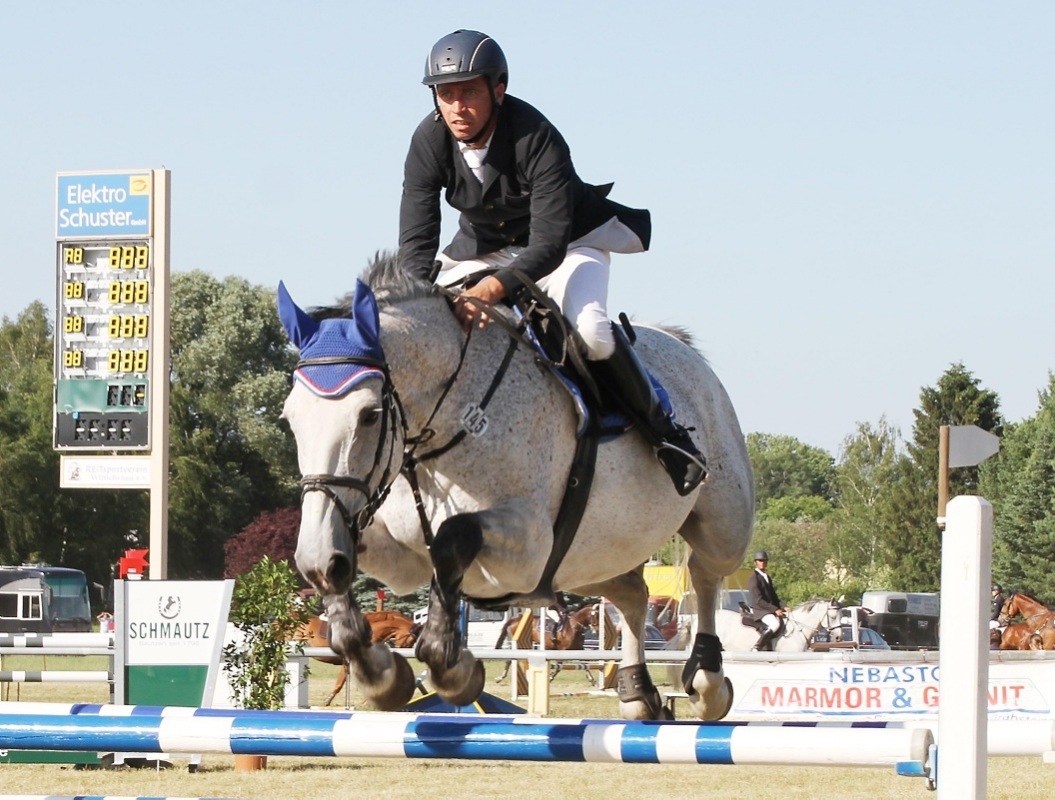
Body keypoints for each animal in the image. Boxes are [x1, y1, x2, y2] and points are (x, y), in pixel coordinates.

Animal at [280, 253, 759, 721]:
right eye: (290, 417)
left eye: (369, 415)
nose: (318, 558)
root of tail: (679, 344)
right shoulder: (399, 560)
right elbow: (351, 568)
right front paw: (381, 672)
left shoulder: (528, 553)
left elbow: (452, 539)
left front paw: (452, 670)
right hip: (596, 557)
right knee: (632, 594)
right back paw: (638, 692)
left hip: (721, 523)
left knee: (705, 572)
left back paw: (707, 682)